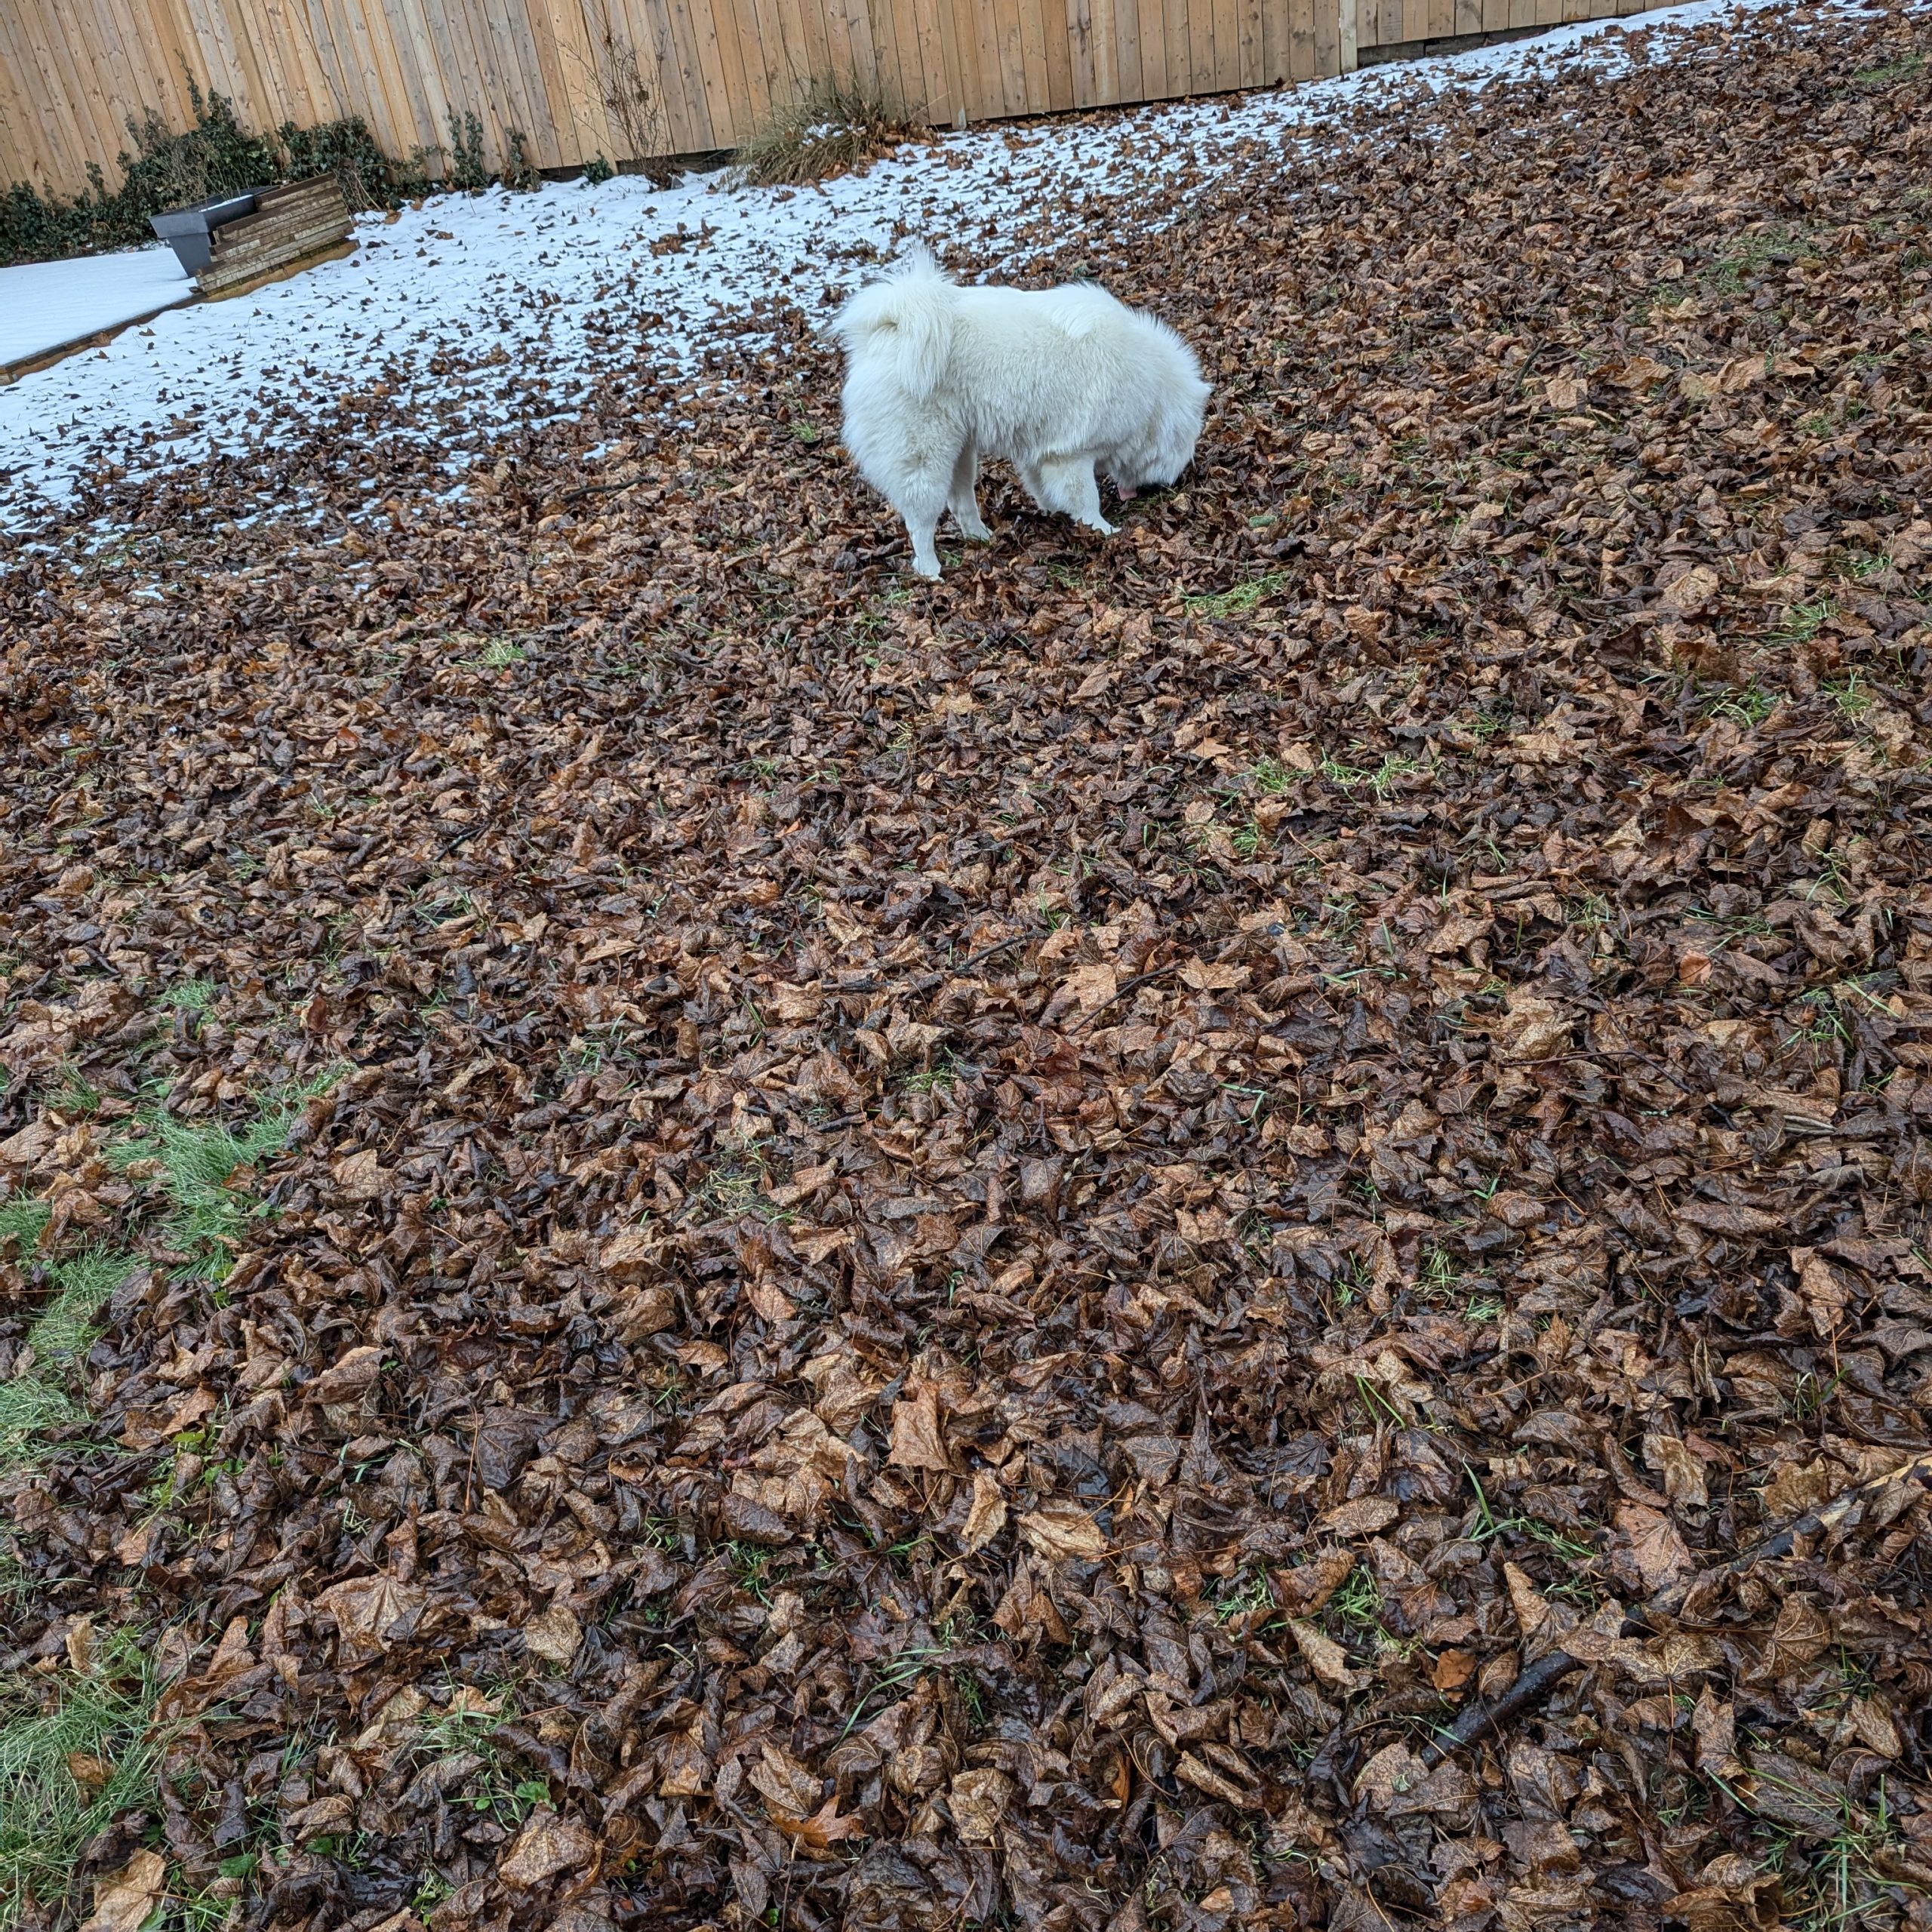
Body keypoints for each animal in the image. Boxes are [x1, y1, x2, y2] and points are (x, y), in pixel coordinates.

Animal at [828, 247, 1210, 578]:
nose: (1174, 482)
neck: (1151, 392)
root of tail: (886, 331)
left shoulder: (1042, 453)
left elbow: (1045, 488)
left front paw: (1056, 513)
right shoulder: (1072, 456)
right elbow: (1086, 498)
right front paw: (1103, 529)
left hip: (961, 451)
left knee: (962, 502)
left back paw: (981, 537)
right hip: (925, 458)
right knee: (921, 522)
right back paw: (931, 570)